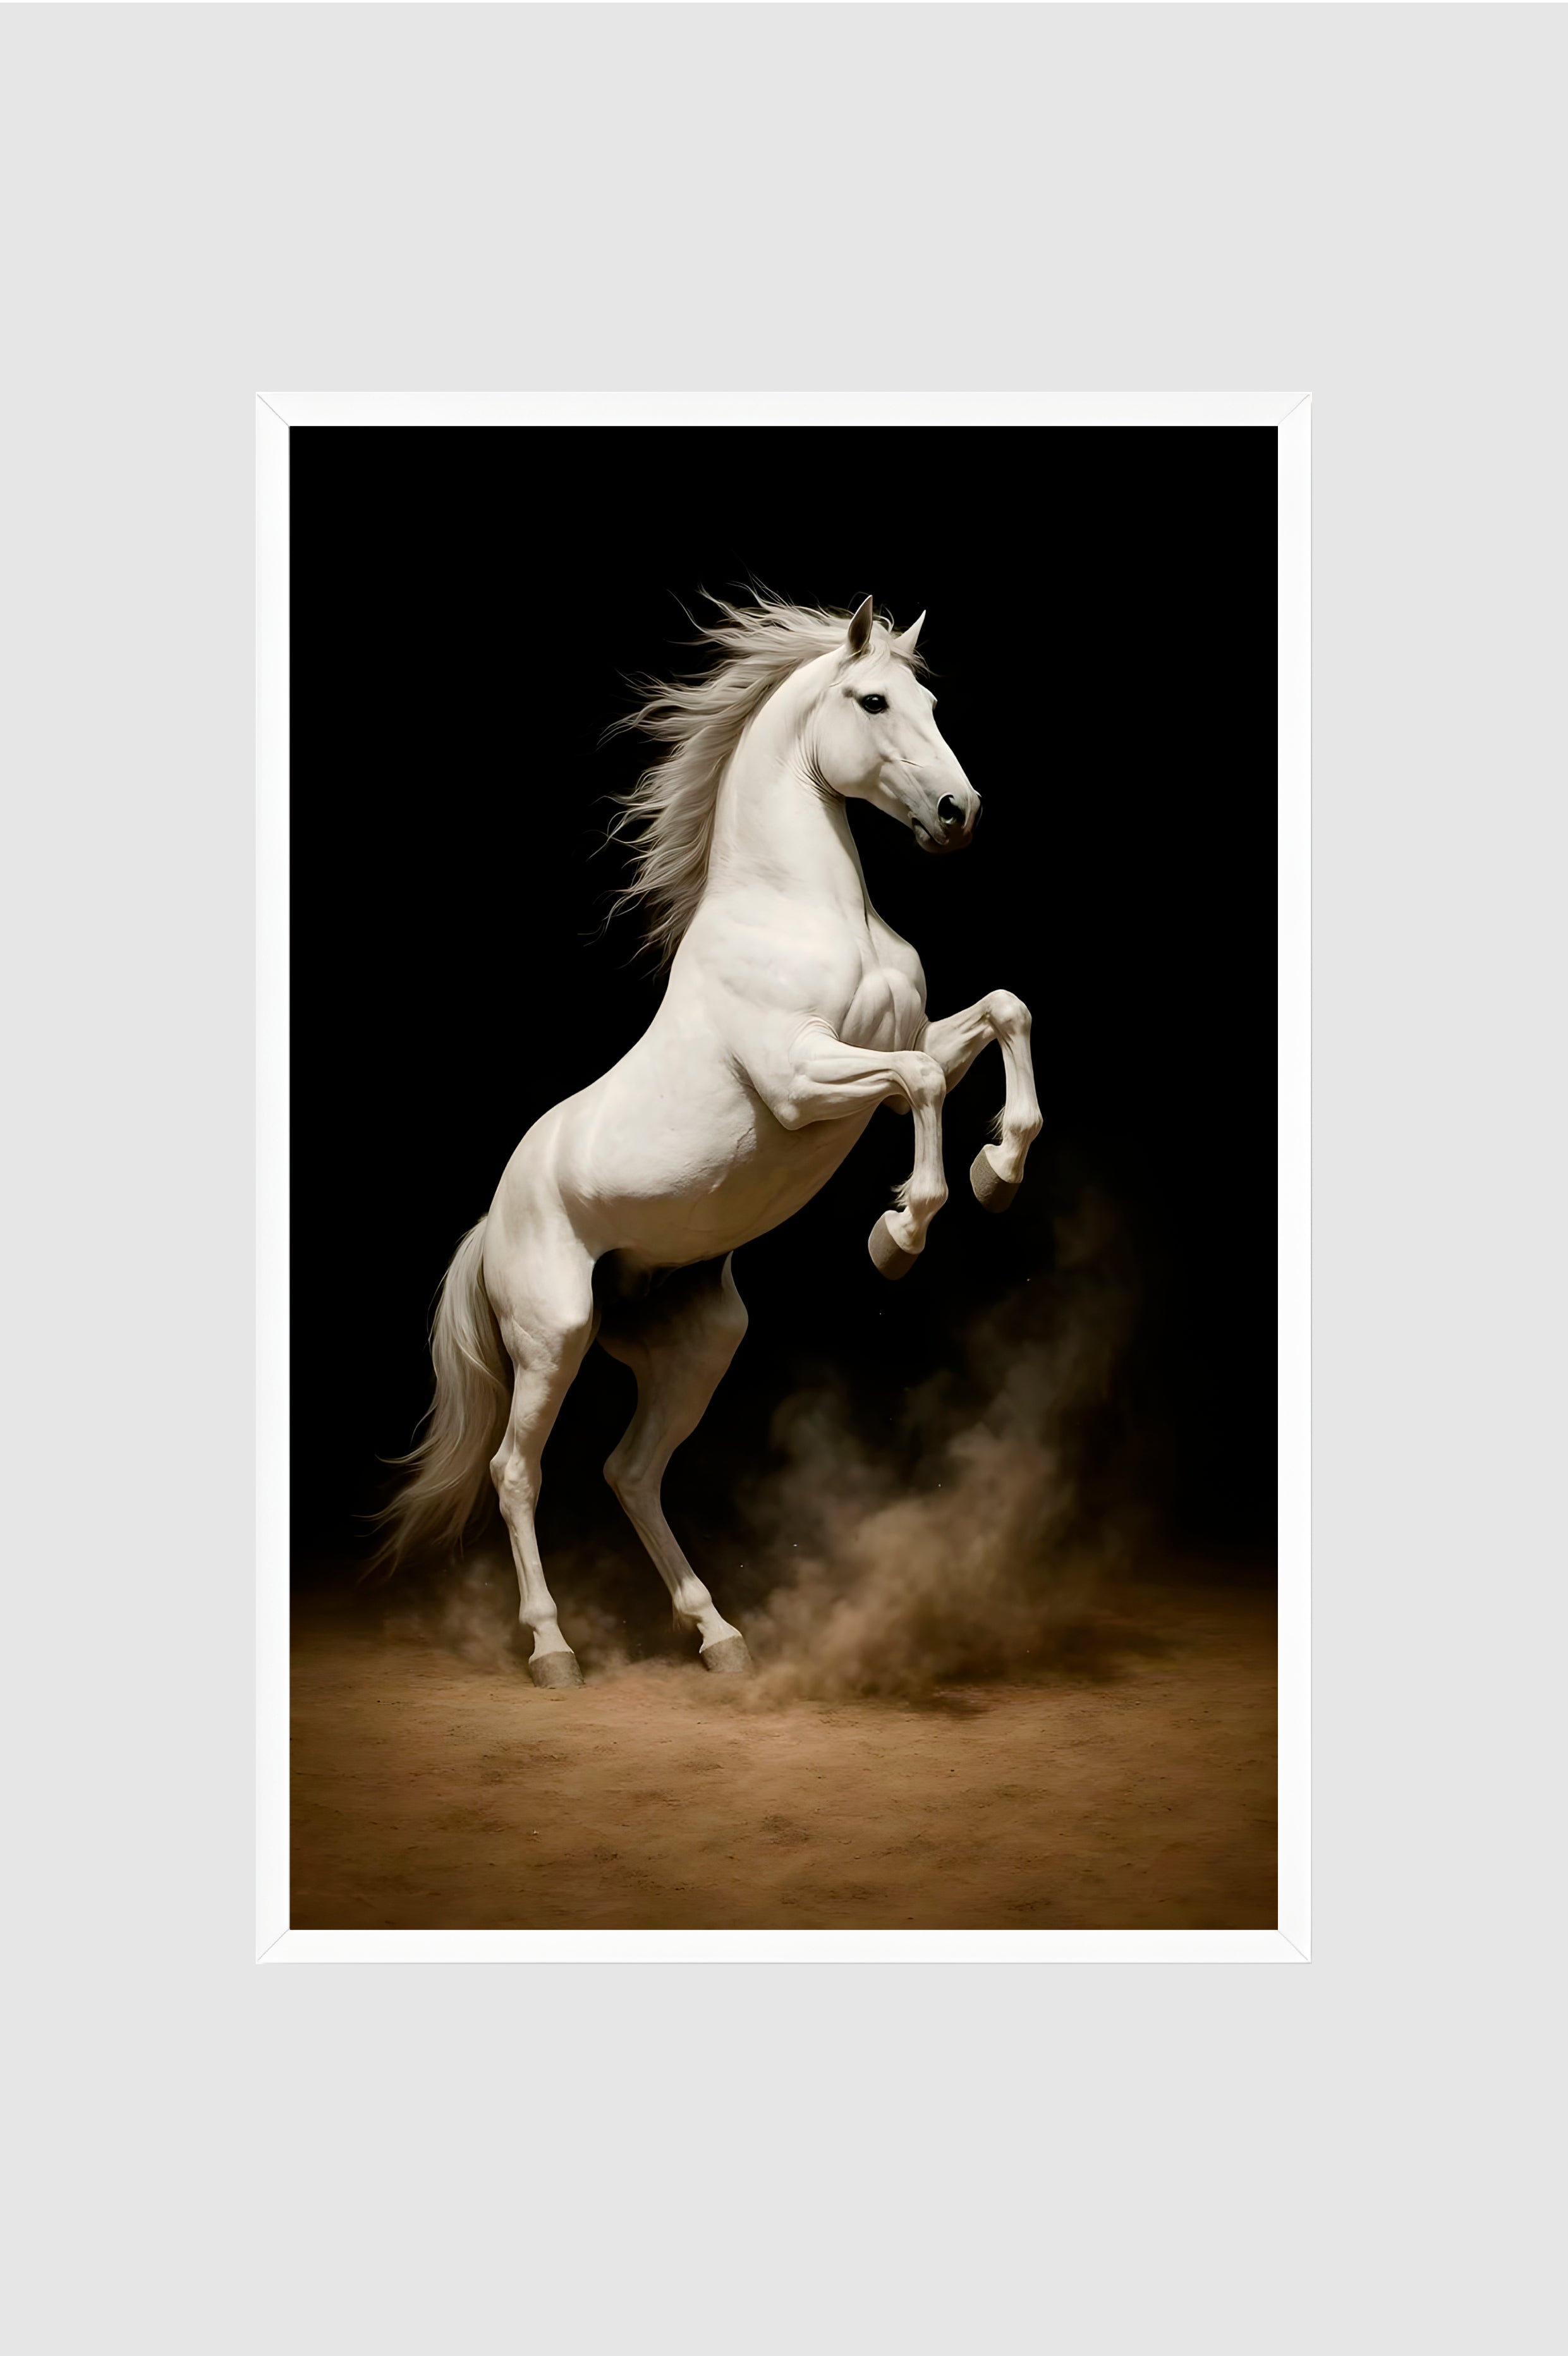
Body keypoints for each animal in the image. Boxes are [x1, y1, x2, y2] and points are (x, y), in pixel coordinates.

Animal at [378, 595, 1042, 1685]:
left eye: (934, 703)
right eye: (872, 700)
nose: (960, 812)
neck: (805, 912)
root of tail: (492, 1220)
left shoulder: (904, 1044)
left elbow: (1001, 1014)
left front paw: (997, 1170)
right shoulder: (807, 1079)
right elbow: (920, 1086)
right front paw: (900, 1233)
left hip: (700, 1343)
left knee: (631, 1470)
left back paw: (718, 1635)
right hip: (553, 1335)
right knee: (518, 1470)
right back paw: (554, 1650)